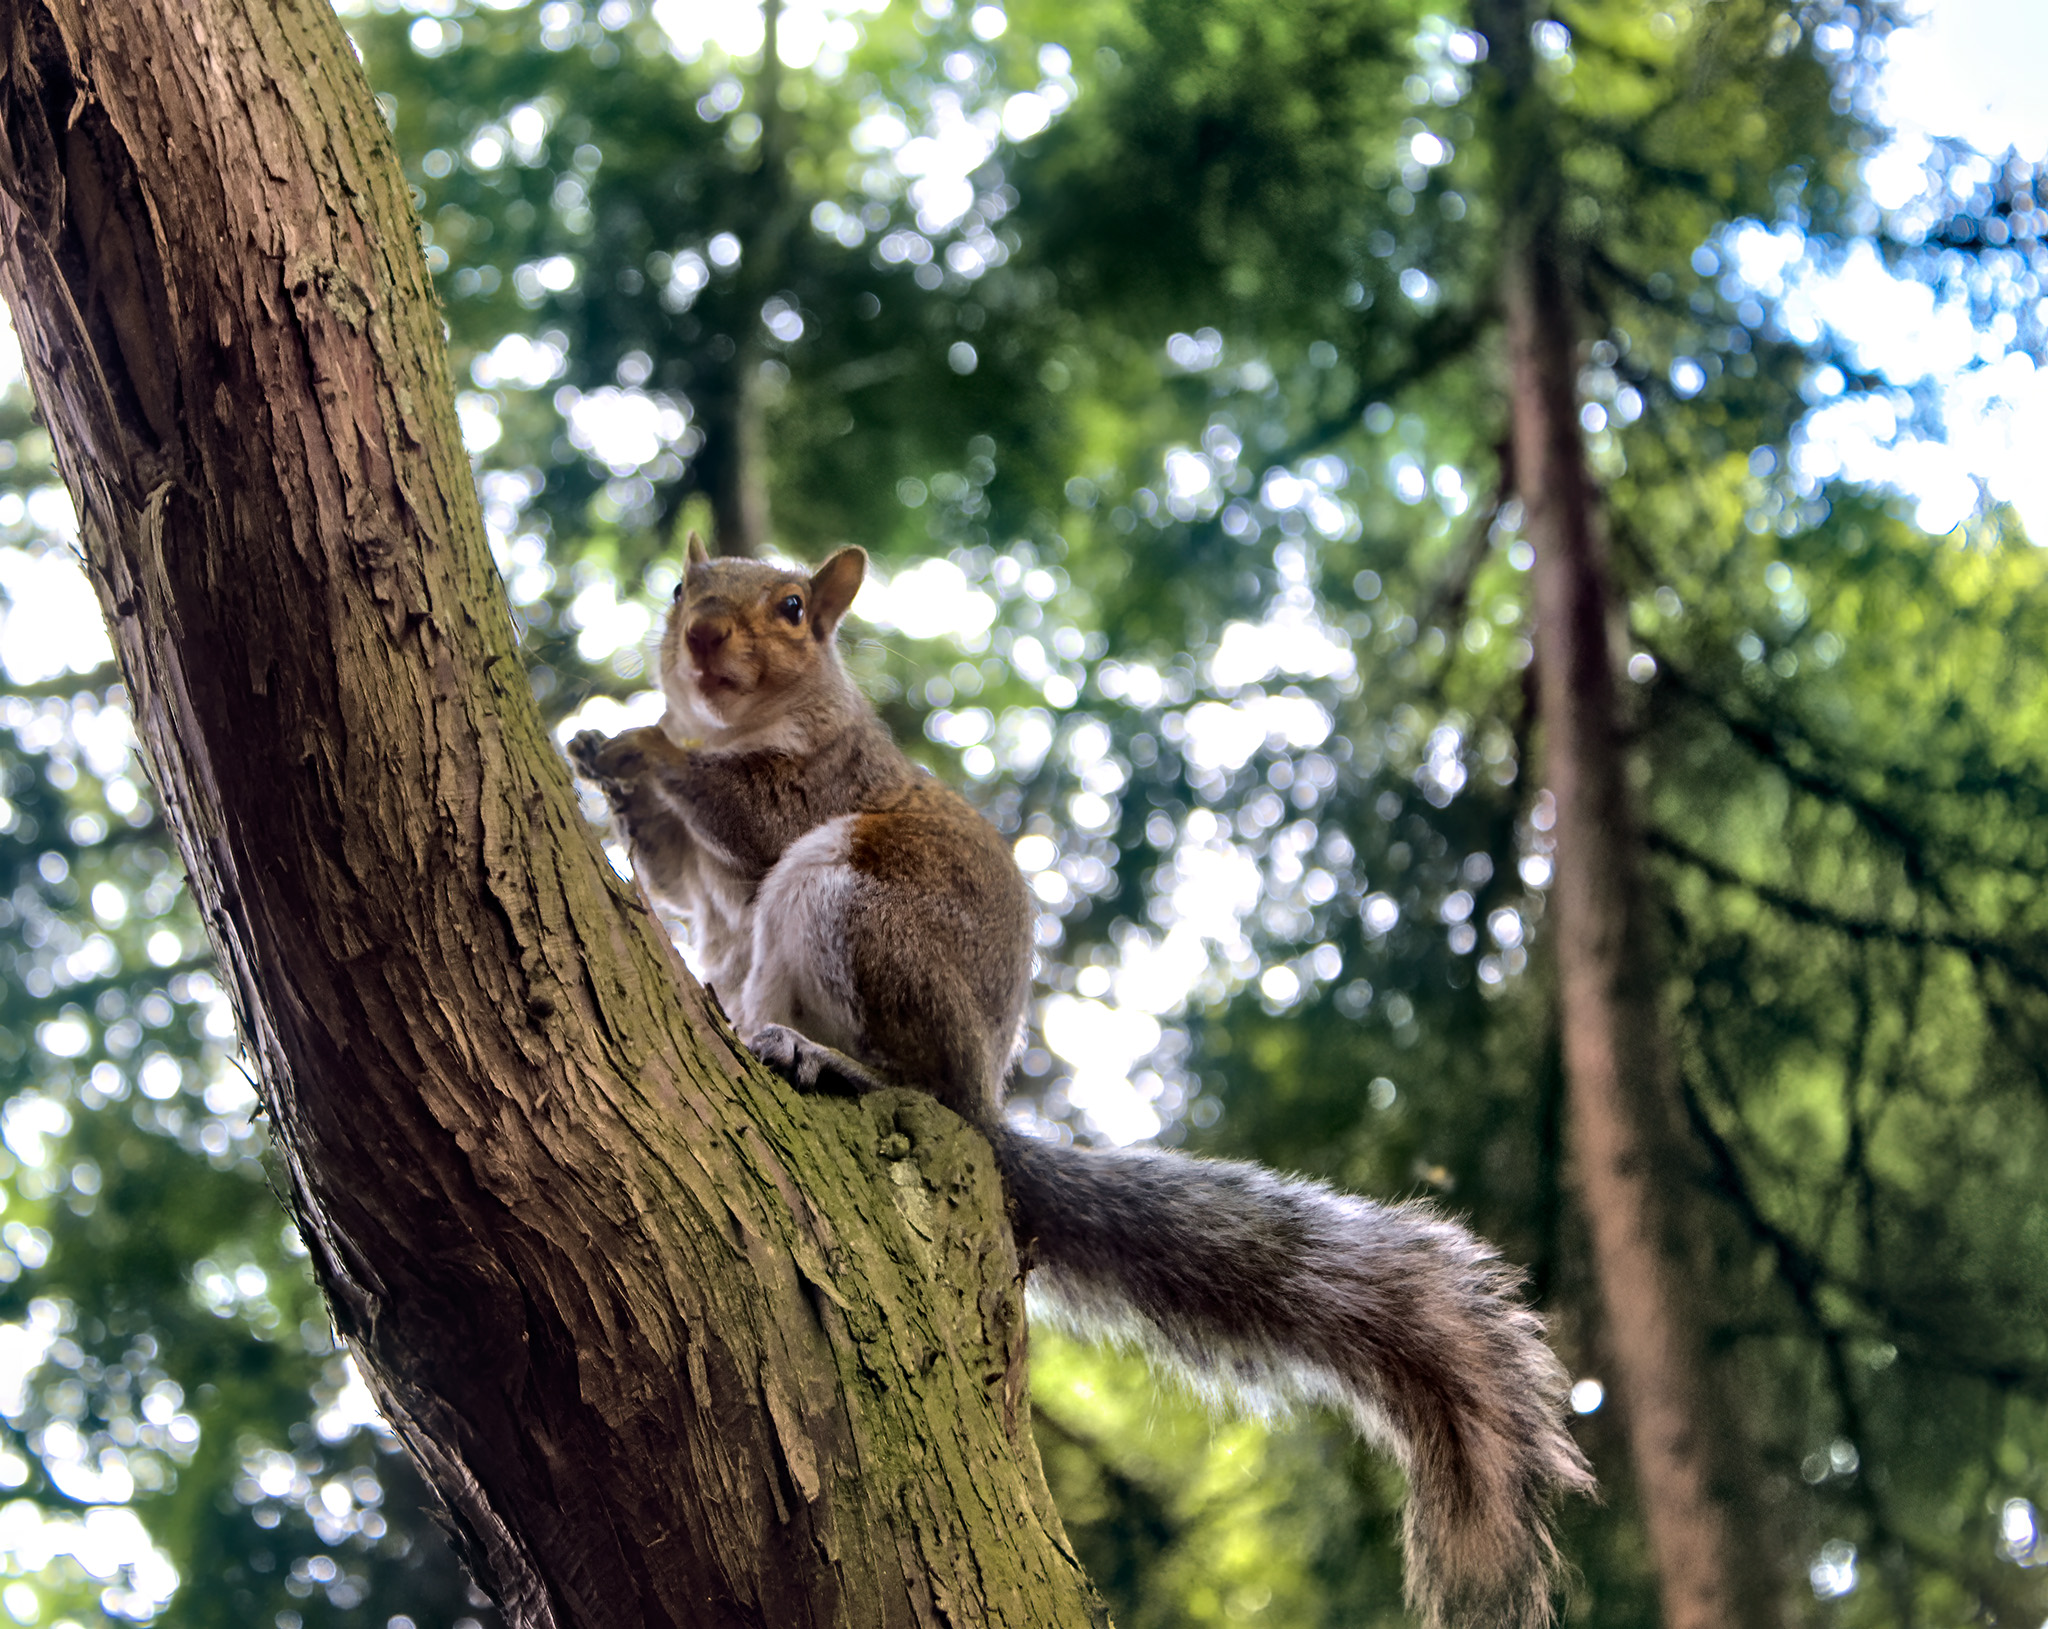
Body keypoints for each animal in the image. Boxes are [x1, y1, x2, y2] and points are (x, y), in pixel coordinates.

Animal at [569, 536, 1594, 1629]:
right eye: (684, 587)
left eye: (795, 607)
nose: (704, 636)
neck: (742, 721)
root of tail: (986, 1103)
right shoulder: (698, 877)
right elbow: (677, 883)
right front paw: (603, 760)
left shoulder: (825, 782)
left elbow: (747, 807)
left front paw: (643, 750)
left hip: (853, 907)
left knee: (910, 1076)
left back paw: (821, 1056)